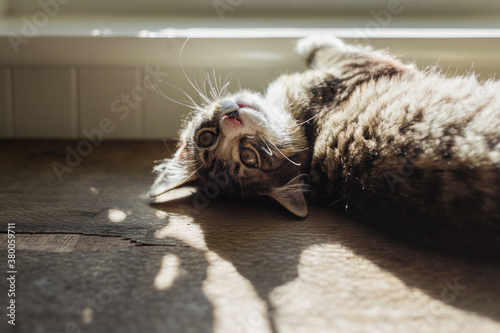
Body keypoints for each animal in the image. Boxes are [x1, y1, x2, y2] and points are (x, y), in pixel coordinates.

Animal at [150, 35, 500, 255]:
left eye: (206, 137)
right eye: (249, 157)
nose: (232, 118)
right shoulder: (358, 66)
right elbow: (327, 49)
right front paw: (310, 41)